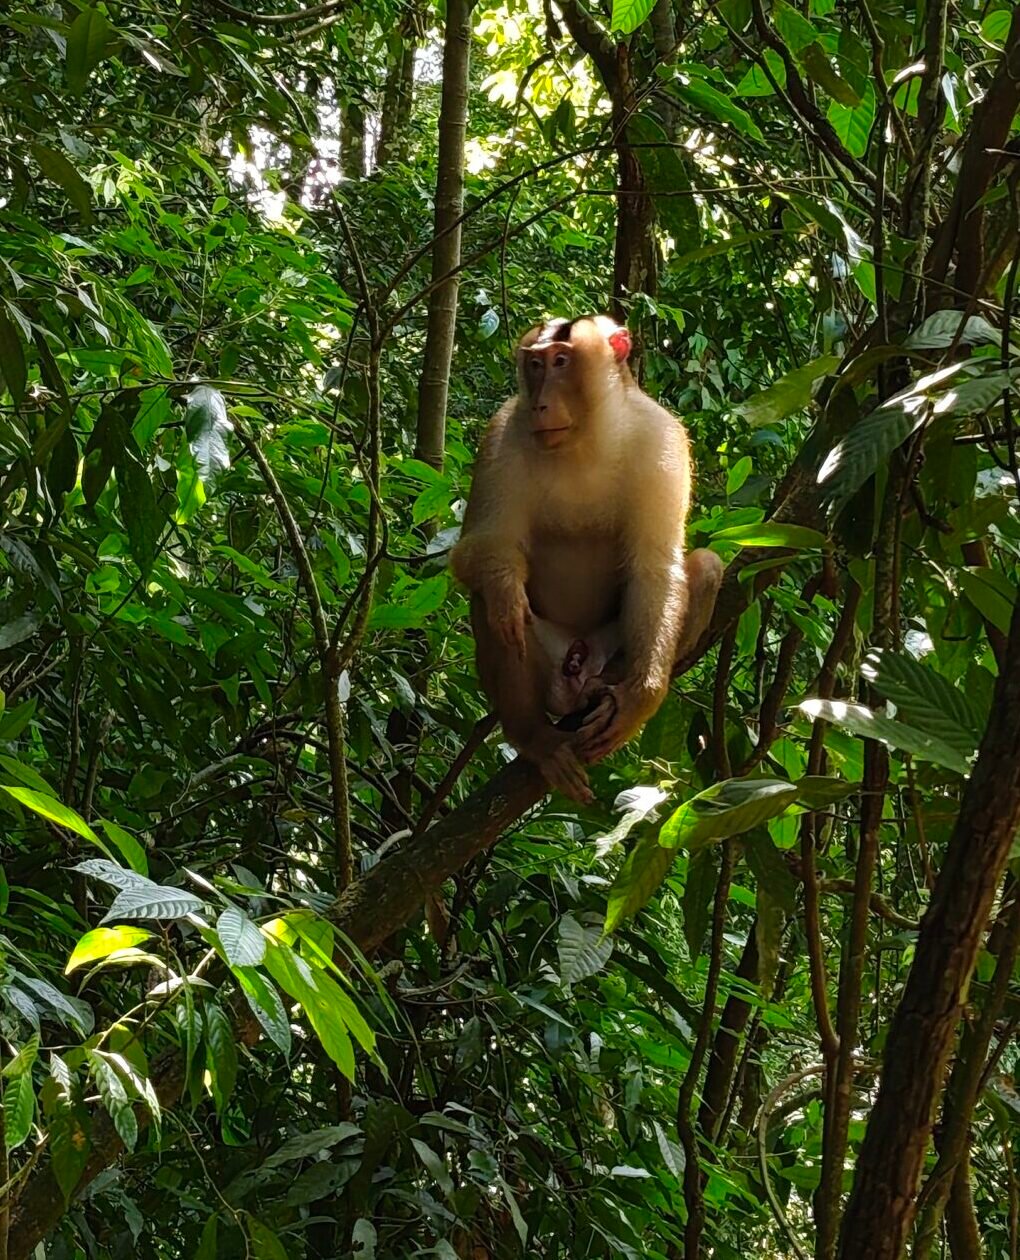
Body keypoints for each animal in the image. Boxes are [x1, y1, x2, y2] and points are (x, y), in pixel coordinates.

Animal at [450, 315, 723, 804]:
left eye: (561, 361)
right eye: (535, 365)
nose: (540, 404)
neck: (586, 439)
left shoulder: (662, 441)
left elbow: (655, 567)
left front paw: (640, 699)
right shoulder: (504, 434)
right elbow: (479, 549)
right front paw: (504, 587)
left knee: (706, 567)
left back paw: (599, 686)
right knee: (493, 608)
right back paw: (536, 735)